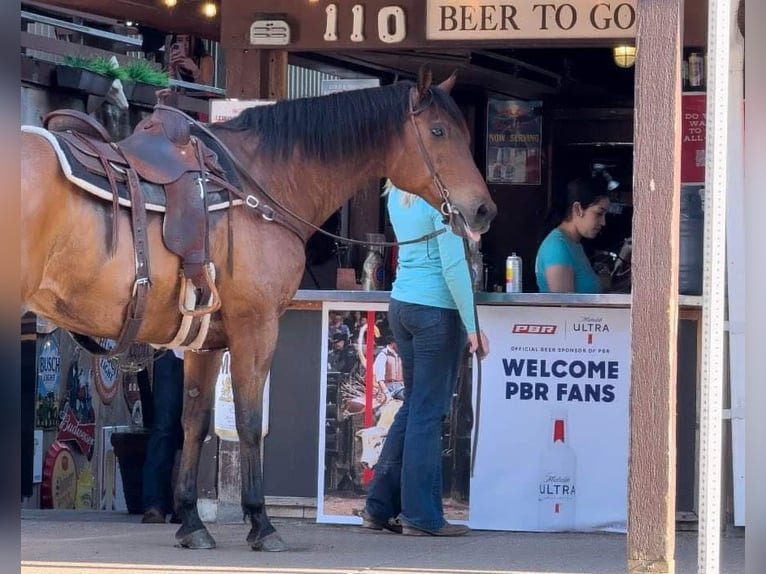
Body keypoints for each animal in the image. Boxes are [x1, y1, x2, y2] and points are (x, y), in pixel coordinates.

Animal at [21, 68, 498, 552]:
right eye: (438, 132)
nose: (483, 209)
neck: (258, 186)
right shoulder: (257, 327)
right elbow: (249, 421)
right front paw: (262, 523)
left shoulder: (205, 342)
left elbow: (195, 423)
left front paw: (192, 522)